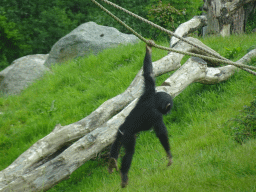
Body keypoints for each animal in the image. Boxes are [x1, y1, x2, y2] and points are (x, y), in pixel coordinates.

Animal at [108, 41, 174, 188]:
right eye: (169, 108)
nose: (169, 111)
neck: (154, 101)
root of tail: (123, 130)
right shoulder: (156, 116)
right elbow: (161, 133)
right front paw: (169, 156)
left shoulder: (149, 90)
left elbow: (148, 73)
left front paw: (148, 49)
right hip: (128, 136)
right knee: (129, 153)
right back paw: (124, 176)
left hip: (119, 133)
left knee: (115, 145)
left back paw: (112, 162)